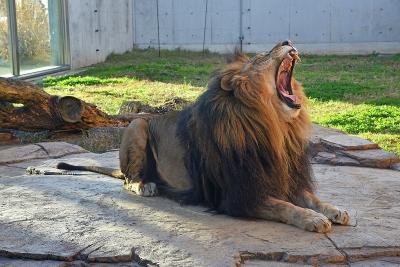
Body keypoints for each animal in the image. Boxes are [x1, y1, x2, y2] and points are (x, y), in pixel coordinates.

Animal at [57, 40, 350, 233]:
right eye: (262, 56)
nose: (287, 41)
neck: (276, 128)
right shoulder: (237, 196)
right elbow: (284, 207)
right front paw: (313, 219)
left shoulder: (286, 178)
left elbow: (311, 198)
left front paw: (334, 209)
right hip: (137, 125)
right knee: (128, 179)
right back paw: (145, 185)